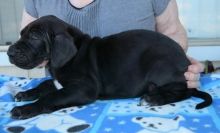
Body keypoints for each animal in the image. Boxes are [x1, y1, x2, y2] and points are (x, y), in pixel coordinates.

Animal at [7, 15, 212, 119]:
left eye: (34, 37)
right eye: (22, 34)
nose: (8, 51)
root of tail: (184, 60)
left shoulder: (83, 88)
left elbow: (52, 96)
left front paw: (26, 109)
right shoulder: (62, 83)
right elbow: (46, 85)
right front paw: (25, 94)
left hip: (160, 64)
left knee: (184, 91)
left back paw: (153, 99)